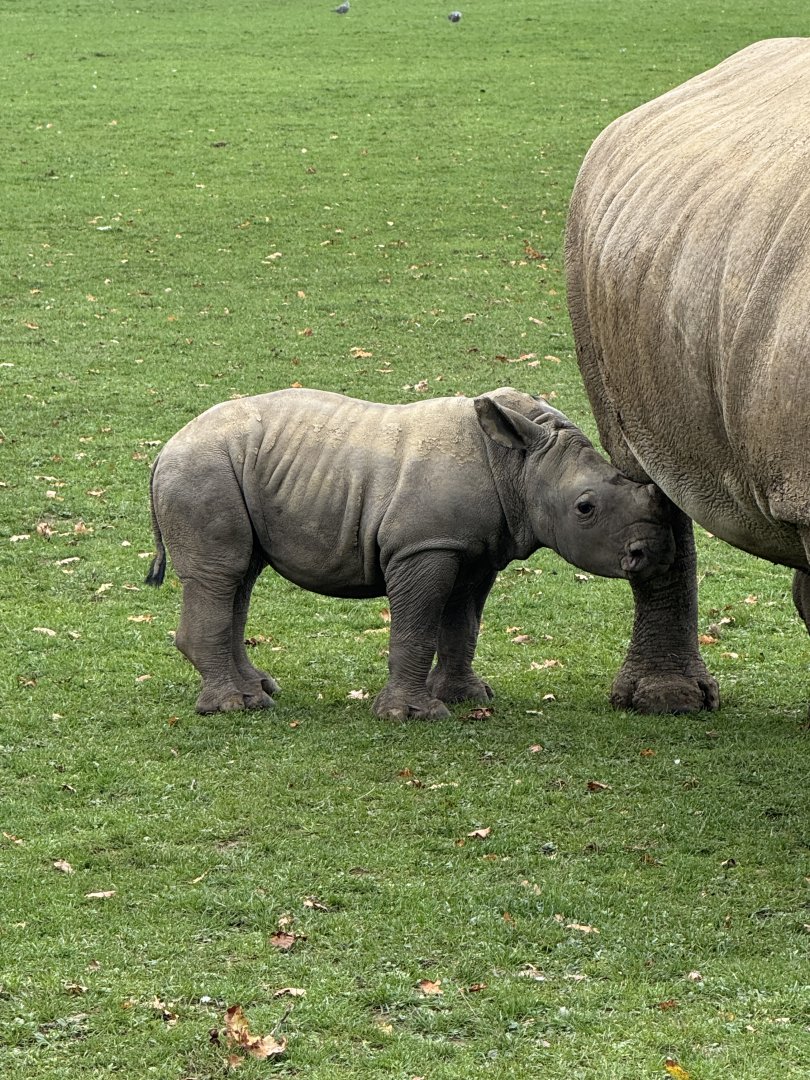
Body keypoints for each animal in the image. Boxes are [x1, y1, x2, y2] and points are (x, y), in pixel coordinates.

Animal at [144, 386, 674, 717]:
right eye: (585, 508)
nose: (650, 555)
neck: (519, 465)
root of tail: (164, 449)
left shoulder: (474, 550)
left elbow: (463, 624)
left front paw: (467, 697)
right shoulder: (423, 546)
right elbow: (417, 624)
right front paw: (412, 714)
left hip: (228, 471)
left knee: (240, 577)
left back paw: (259, 690)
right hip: (203, 470)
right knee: (222, 574)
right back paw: (235, 706)